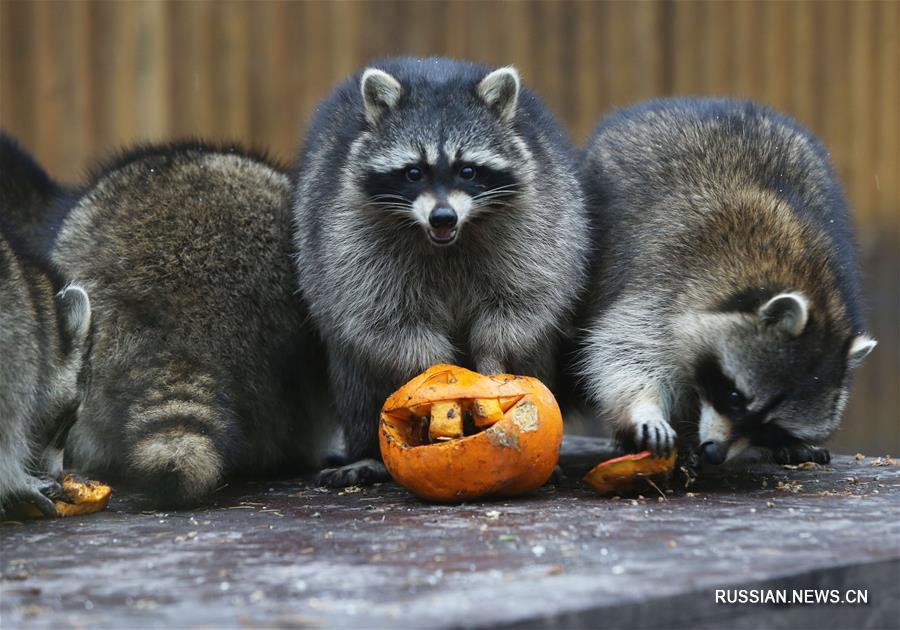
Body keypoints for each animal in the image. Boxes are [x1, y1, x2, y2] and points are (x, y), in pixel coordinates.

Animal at [296, 56, 588, 486]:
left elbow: (521, 303)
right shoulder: (347, 234)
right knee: (357, 377)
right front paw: (435, 368)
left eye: (468, 171)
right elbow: (384, 318)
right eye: (413, 172)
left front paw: (490, 360)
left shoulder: (540, 218)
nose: (443, 216)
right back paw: (366, 451)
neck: (447, 239)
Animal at [576, 100, 880, 470]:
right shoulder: (669, 279)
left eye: (770, 428)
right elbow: (623, 349)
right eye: (735, 396)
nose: (715, 453)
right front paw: (643, 408)